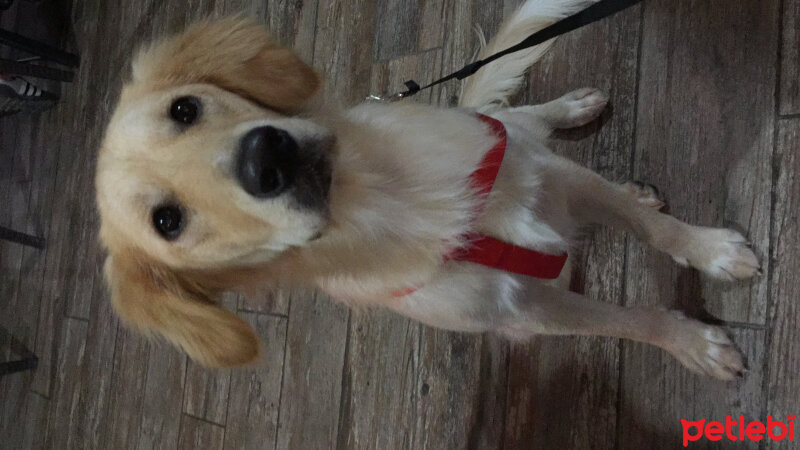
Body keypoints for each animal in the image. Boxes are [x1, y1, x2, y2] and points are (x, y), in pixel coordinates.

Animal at [94, 0, 756, 380]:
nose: (264, 158)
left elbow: (657, 229)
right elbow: (629, 323)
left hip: (525, 141)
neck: (394, 195)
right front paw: (695, 346)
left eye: (185, 108)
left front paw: (713, 253)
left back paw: (572, 109)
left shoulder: (556, 175)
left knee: (526, 120)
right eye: (168, 222)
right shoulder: (525, 311)